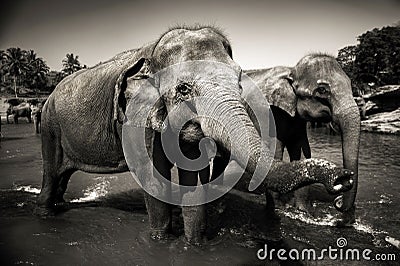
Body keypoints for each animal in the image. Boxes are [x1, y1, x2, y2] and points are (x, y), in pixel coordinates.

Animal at [242, 55, 360, 225]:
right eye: (322, 90)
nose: (337, 201)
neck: (292, 71)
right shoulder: (268, 114)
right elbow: (275, 152)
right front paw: (277, 210)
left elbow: (303, 151)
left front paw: (304, 212)